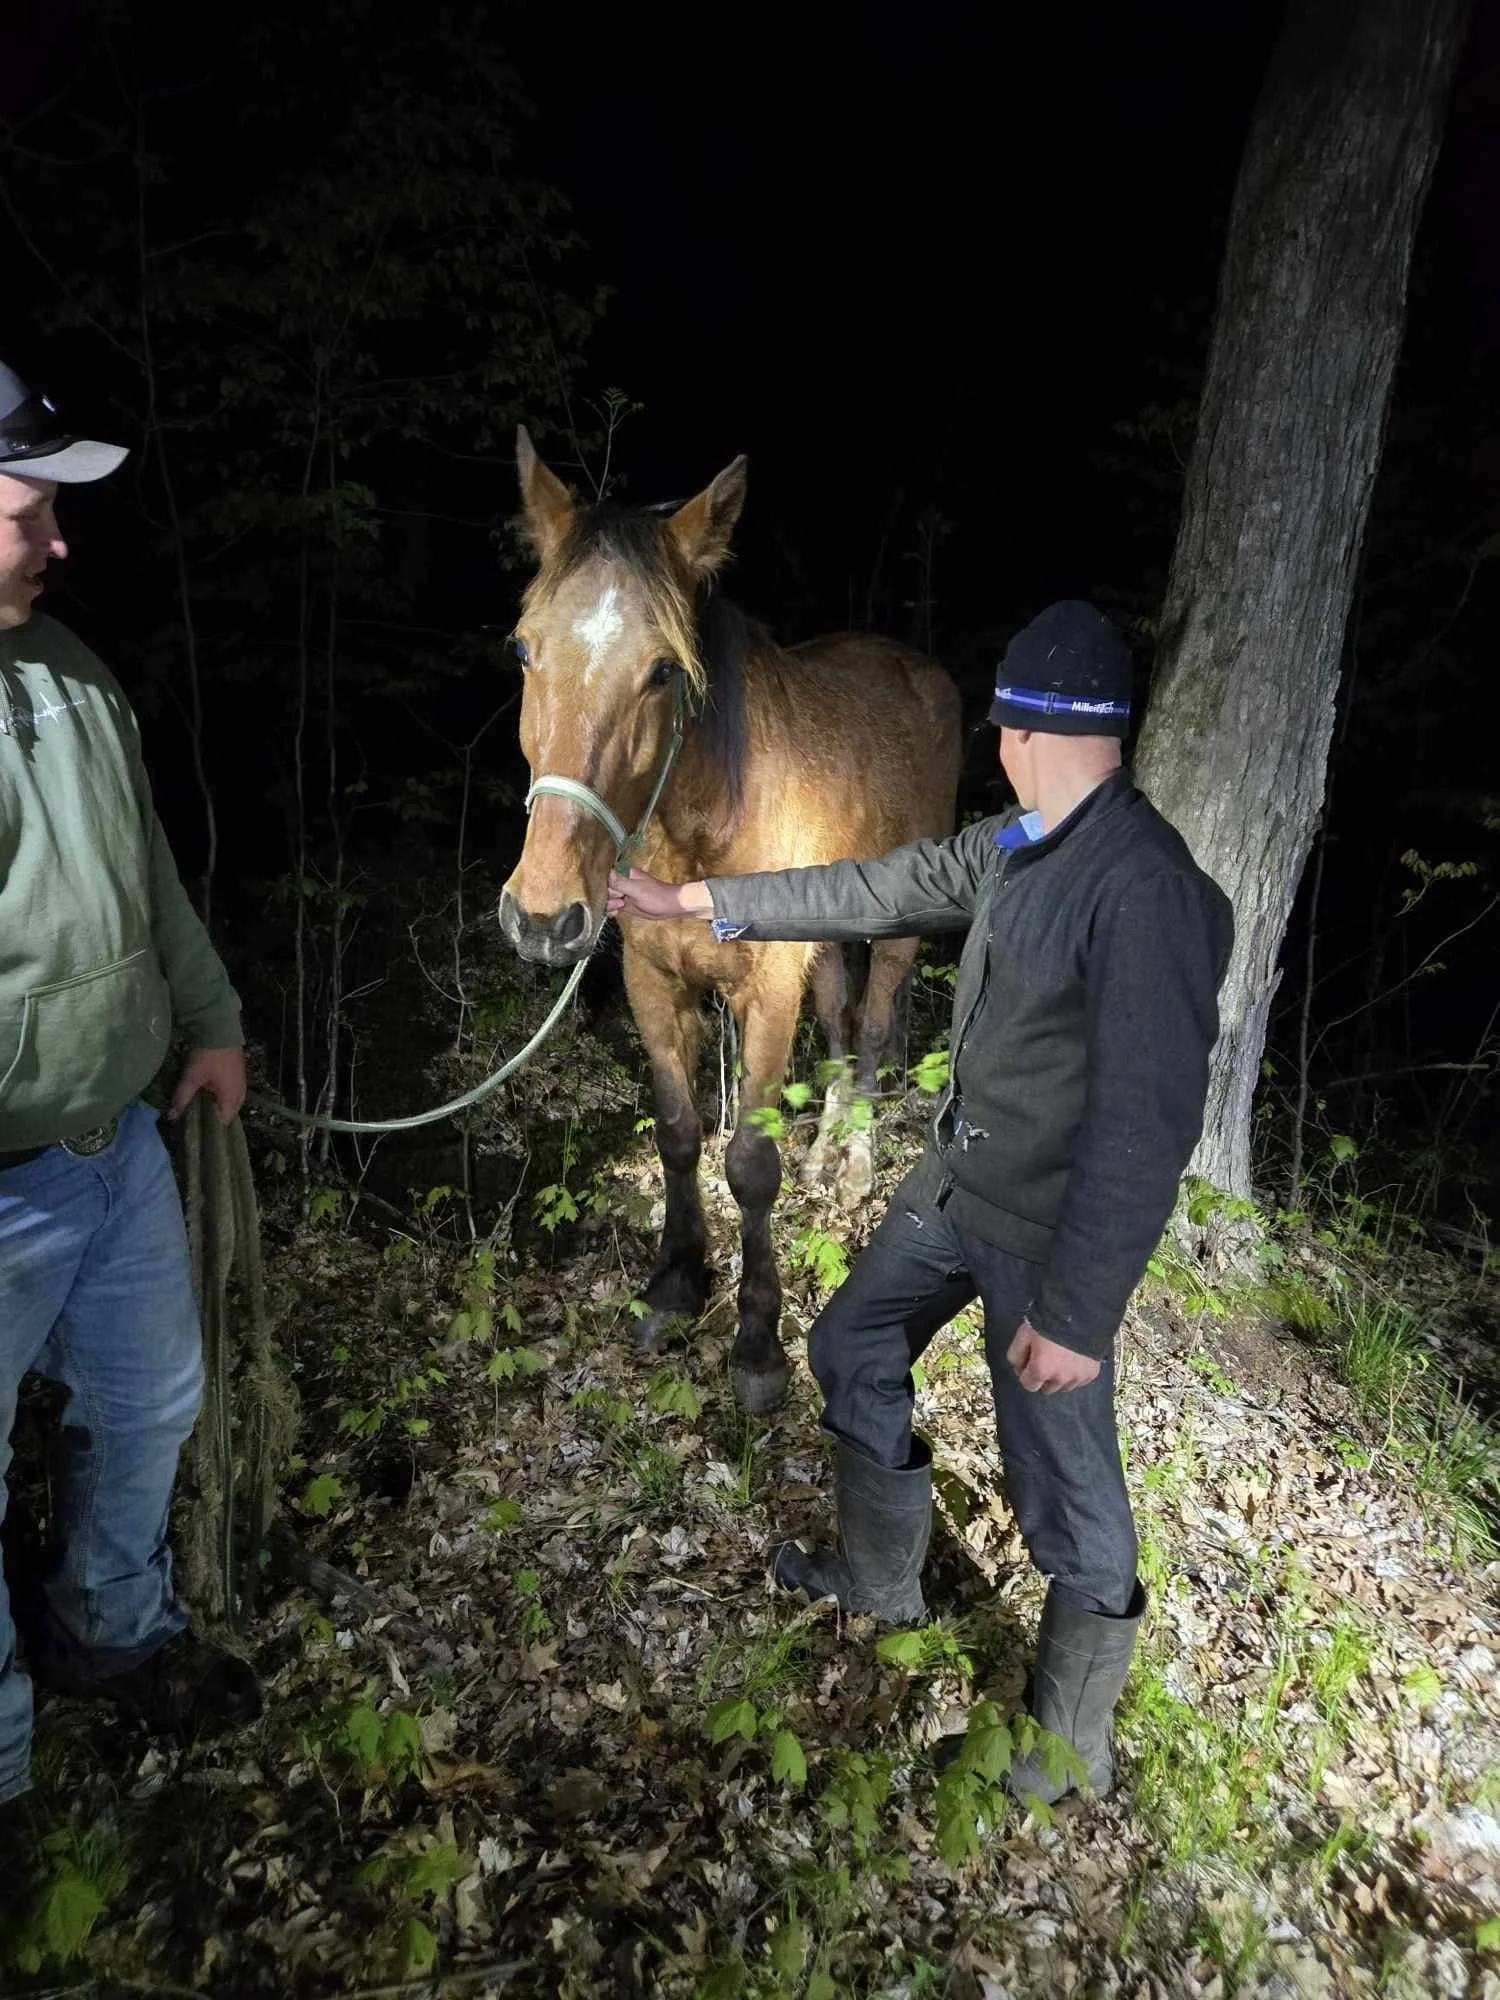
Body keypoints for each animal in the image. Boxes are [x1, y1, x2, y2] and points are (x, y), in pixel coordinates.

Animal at [498, 430, 961, 1414]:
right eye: (523, 649)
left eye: (662, 670)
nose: (544, 916)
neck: (697, 834)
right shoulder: (651, 980)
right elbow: (680, 1134)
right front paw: (676, 1284)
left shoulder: (764, 992)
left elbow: (749, 1163)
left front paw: (755, 1341)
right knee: (840, 1021)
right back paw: (826, 1150)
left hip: (899, 922)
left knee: (871, 1026)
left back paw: (853, 1162)